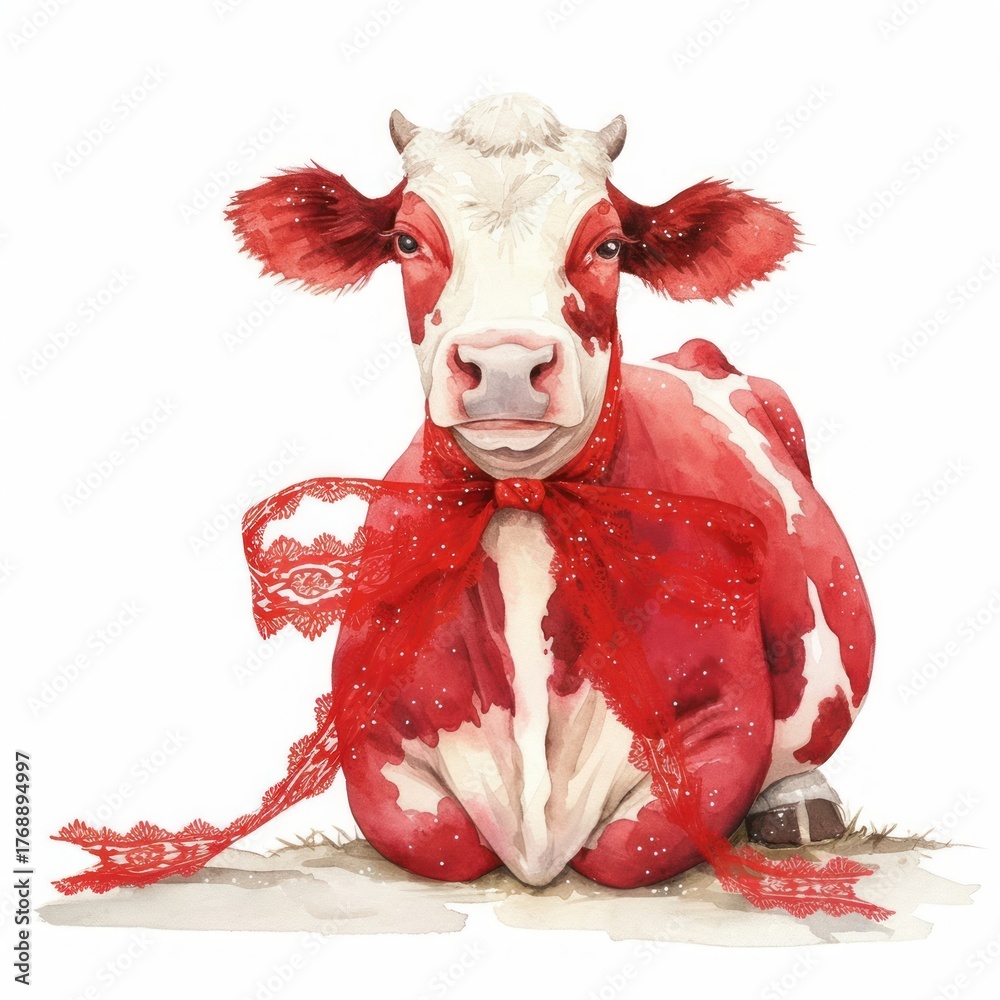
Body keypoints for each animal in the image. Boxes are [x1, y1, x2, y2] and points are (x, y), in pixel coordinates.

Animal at [54, 94, 878, 915]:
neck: (523, 511)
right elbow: (441, 840)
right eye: (408, 240)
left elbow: (633, 845)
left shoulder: (726, 717)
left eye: (609, 245)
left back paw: (800, 806)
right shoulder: (372, 737)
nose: (506, 363)